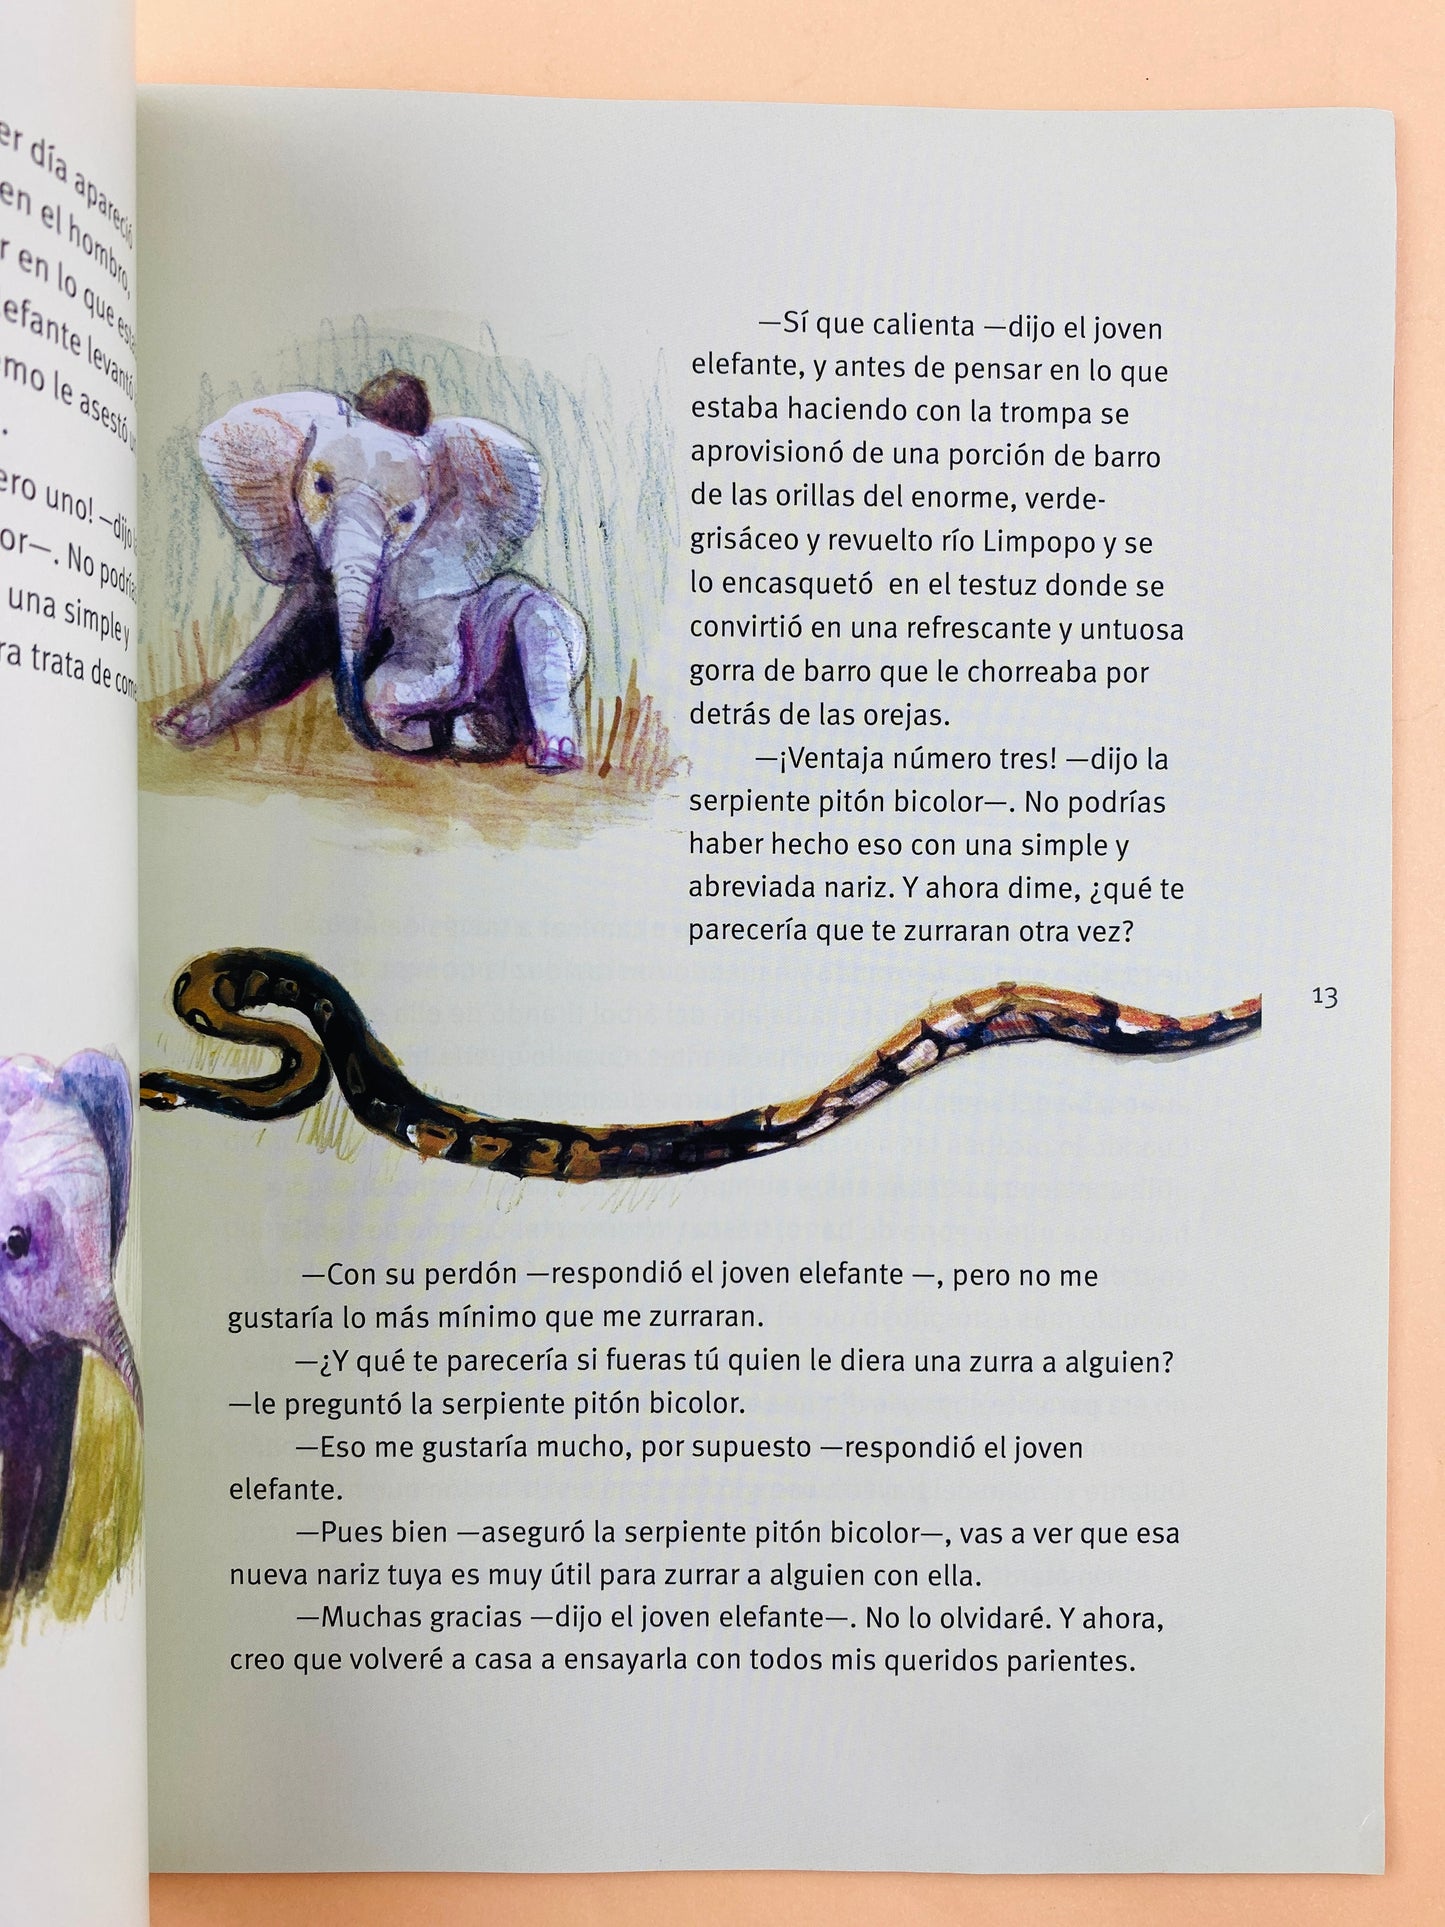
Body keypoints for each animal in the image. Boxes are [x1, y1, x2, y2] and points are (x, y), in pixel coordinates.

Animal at [154, 371, 588, 770]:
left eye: (407, 515)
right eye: (321, 485)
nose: (368, 737)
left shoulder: (434, 600)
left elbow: (430, 669)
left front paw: (422, 736)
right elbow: (280, 648)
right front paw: (177, 727)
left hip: (555, 626)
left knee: (540, 641)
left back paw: (541, 755)